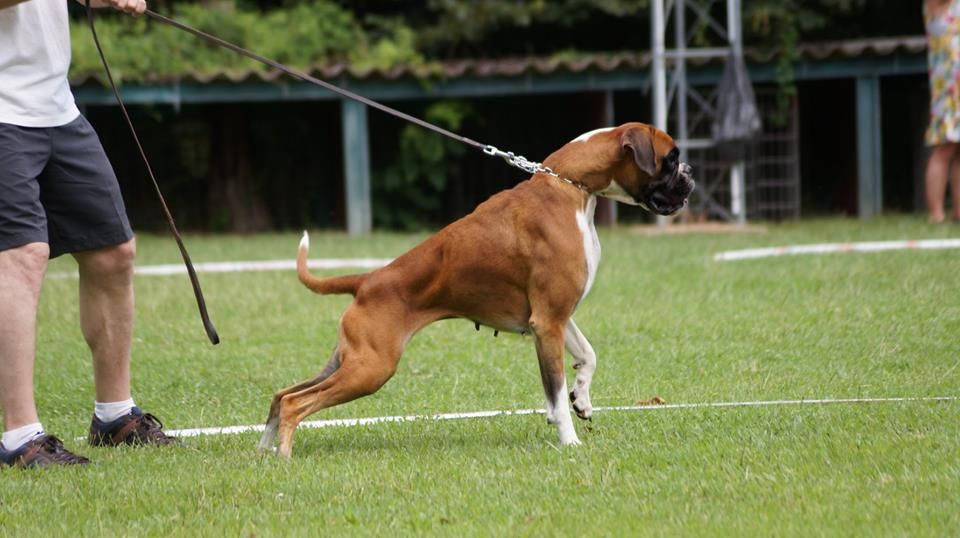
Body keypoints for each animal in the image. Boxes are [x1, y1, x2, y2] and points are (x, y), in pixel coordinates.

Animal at [255, 121, 692, 456]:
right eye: (669, 159)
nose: (689, 175)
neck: (571, 188)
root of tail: (367, 280)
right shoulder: (548, 322)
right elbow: (554, 392)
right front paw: (569, 441)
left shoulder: (557, 317)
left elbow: (588, 356)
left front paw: (581, 398)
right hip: (370, 368)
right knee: (296, 402)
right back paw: (284, 455)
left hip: (348, 361)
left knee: (281, 394)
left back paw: (264, 450)